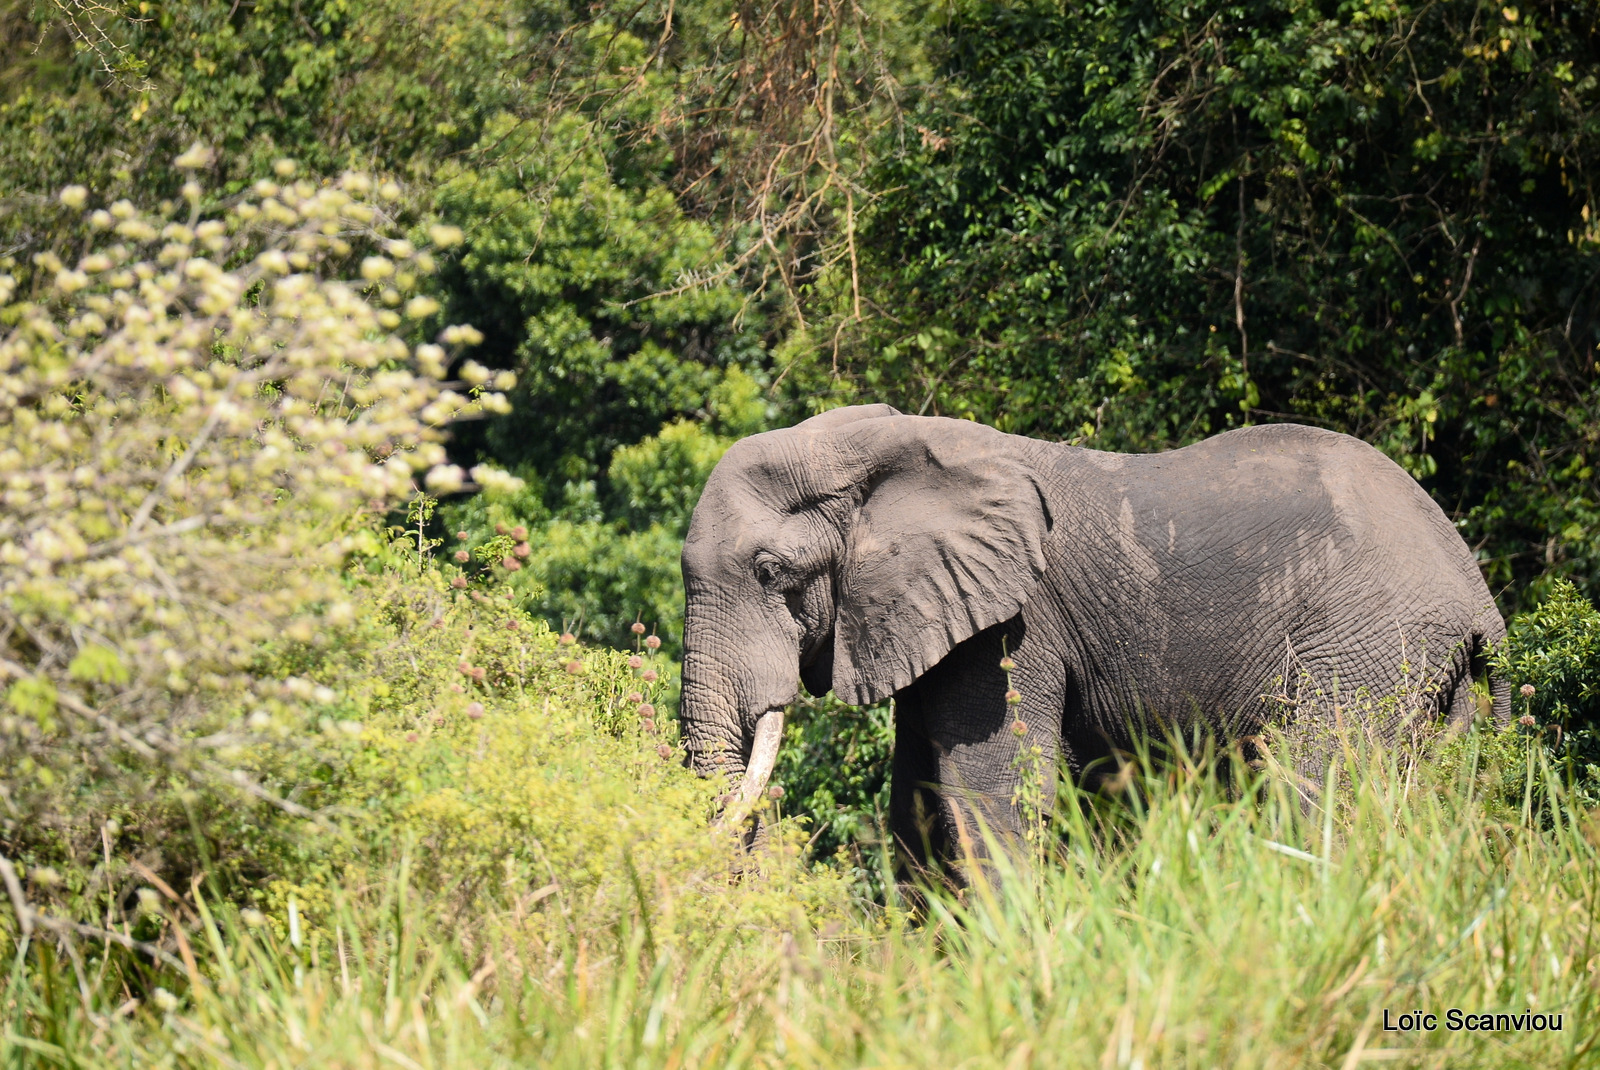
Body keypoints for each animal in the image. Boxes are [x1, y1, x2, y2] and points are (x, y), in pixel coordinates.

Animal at [681, 403, 1504, 870]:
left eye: (769, 573)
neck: (868, 446)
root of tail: (1473, 587)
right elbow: (915, 804)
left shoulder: (1015, 626)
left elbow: (991, 796)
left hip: (1372, 646)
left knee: (1315, 784)